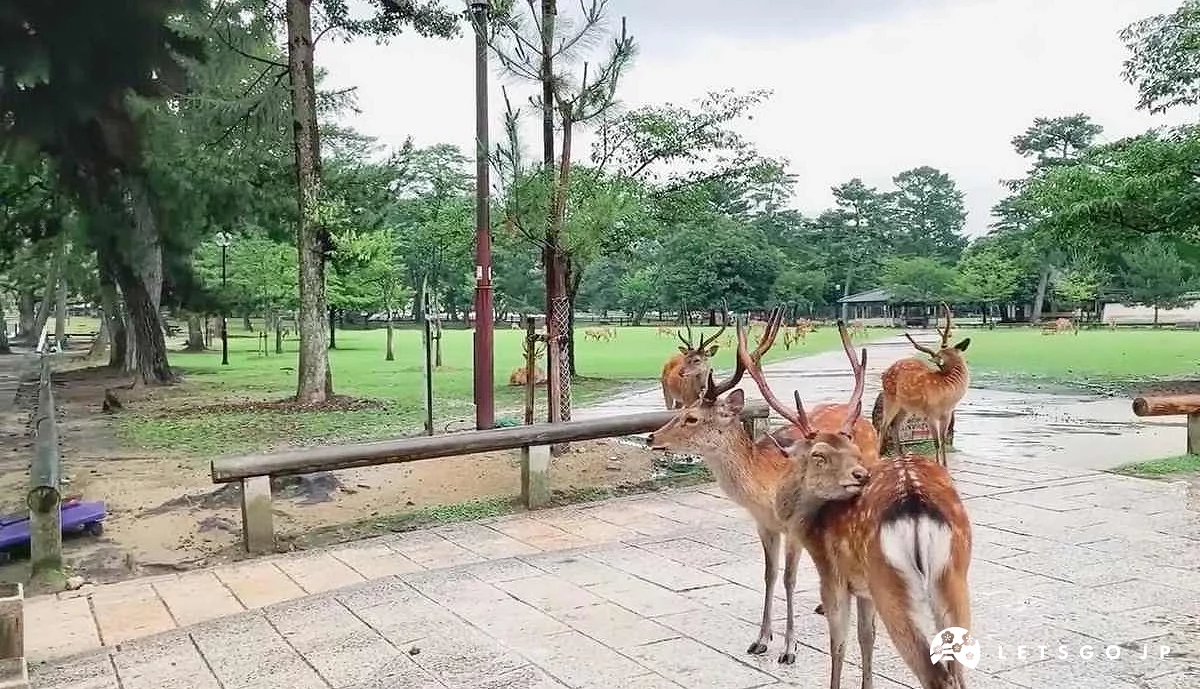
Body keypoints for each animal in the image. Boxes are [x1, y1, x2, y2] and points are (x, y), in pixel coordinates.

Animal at [646, 311, 879, 664]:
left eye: (692, 418)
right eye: (682, 411)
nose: (651, 437)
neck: (767, 488)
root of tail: (867, 422)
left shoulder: (794, 526)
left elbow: (788, 578)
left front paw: (789, 648)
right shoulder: (763, 525)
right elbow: (769, 575)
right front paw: (760, 640)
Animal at [875, 303, 970, 468]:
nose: (937, 364)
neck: (947, 394)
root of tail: (885, 372)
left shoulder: (947, 414)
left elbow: (943, 441)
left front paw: (946, 466)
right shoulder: (930, 413)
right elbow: (936, 442)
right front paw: (938, 465)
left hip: (905, 407)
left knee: (895, 426)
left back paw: (900, 458)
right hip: (890, 398)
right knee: (883, 425)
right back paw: (879, 457)